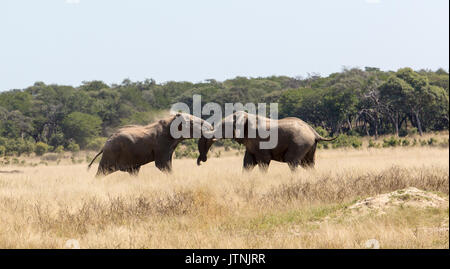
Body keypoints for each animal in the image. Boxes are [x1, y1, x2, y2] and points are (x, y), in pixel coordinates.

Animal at [198, 111, 338, 172]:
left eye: (223, 127)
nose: (201, 162)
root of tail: (314, 132)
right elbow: (247, 163)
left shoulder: (260, 141)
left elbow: (263, 161)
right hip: (309, 146)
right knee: (308, 164)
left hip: (300, 143)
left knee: (292, 161)